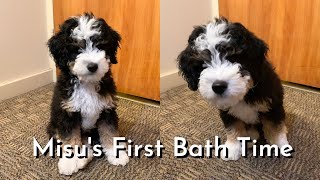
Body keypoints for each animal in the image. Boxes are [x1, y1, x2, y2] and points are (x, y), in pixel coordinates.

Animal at [46, 13, 129, 176]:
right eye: (77, 49)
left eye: (100, 46)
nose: (92, 66)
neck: (87, 83)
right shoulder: (68, 114)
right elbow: (70, 138)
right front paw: (69, 162)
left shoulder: (107, 109)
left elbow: (109, 132)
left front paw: (116, 154)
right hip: (54, 125)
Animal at [178, 17, 290, 160]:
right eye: (203, 63)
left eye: (233, 57)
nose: (218, 86)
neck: (244, 93)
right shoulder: (227, 111)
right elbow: (233, 128)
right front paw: (232, 148)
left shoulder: (271, 105)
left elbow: (274, 128)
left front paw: (281, 145)